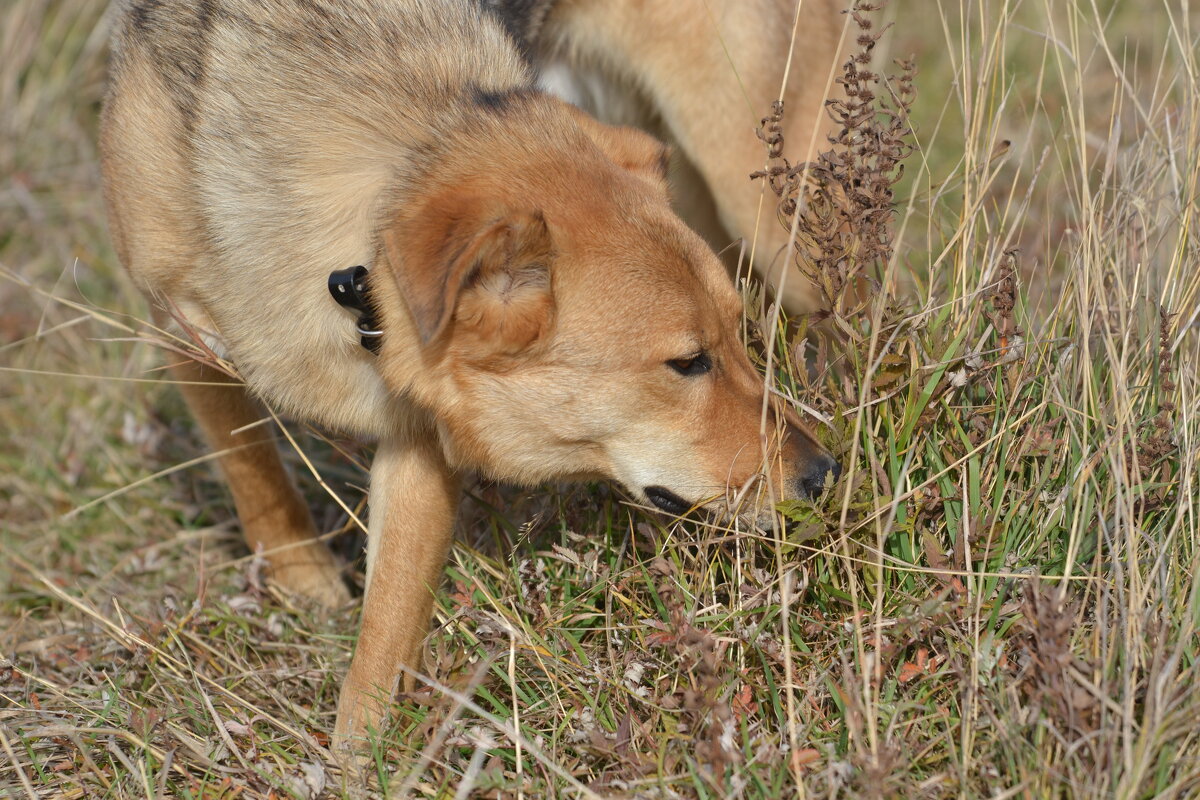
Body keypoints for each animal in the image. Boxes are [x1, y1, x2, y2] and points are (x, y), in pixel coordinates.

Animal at [98, 0, 840, 753]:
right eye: (687, 362)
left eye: (732, 340)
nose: (823, 476)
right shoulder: (180, 331)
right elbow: (254, 478)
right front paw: (307, 593)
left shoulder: (419, 438)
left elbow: (385, 631)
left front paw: (362, 760)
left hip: (768, 201)